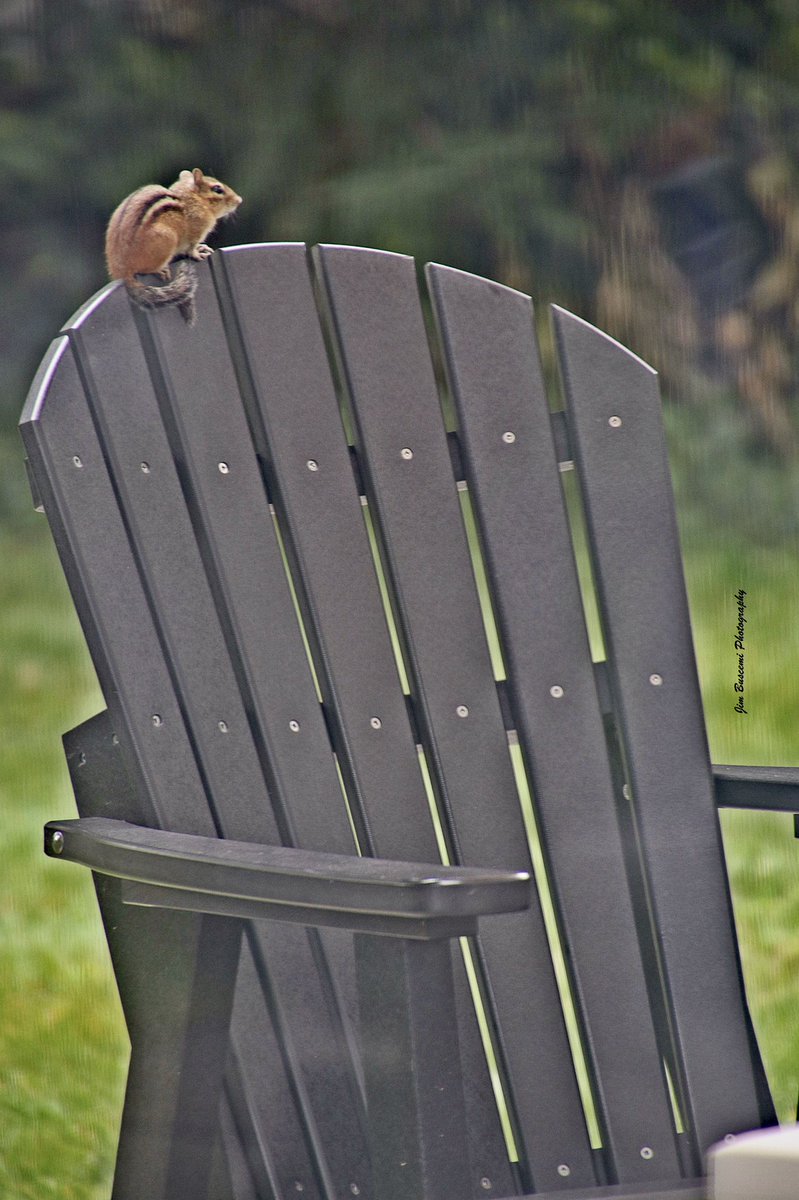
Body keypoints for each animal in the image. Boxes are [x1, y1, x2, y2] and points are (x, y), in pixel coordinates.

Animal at [105, 168, 242, 325]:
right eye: (217, 189)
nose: (239, 200)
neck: (193, 198)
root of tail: (122, 271)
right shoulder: (195, 232)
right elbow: (191, 249)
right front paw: (198, 253)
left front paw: (202, 248)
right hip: (167, 238)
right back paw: (160, 269)